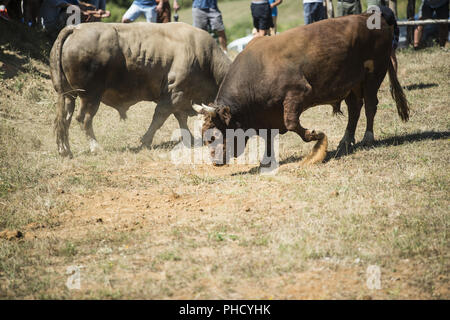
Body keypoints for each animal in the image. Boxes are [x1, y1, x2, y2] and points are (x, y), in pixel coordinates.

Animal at [192, 11, 410, 165]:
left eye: (214, 135)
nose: (215, 162)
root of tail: (373, 17)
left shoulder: (298, 93)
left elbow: (291, 123)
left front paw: (314, 135)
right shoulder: (266, 115)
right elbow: (269, 137)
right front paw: (267, 160)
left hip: (374, 73)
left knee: (371, 105)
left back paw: (367, 138)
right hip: (351, 84)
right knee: (355, 110)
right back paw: (345, 141)